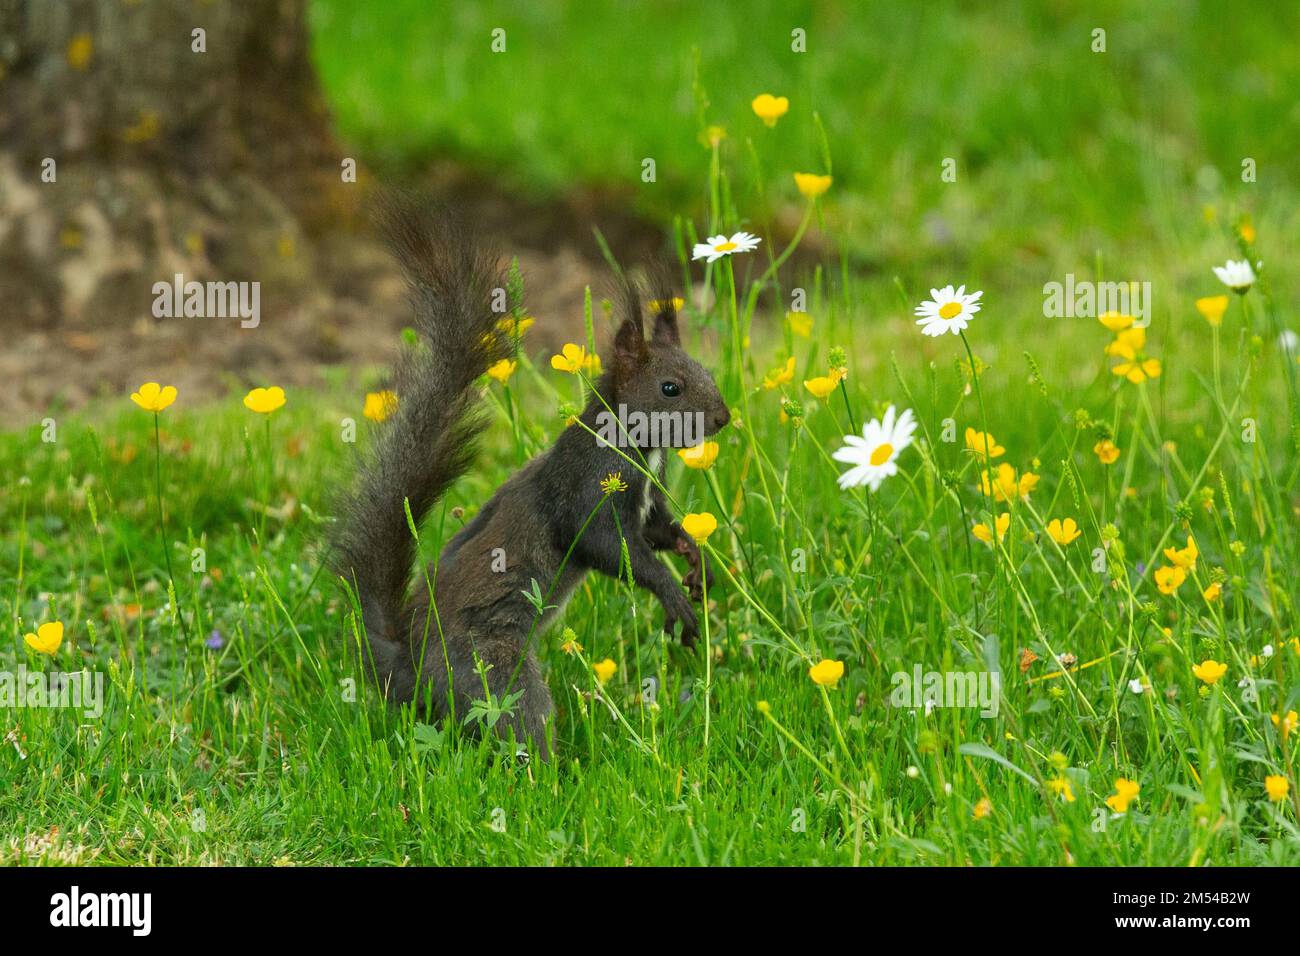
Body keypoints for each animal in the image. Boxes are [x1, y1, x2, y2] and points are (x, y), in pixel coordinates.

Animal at [332, 200, 731, 759]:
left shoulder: (648, 502)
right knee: (519, 720)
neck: (635, 445)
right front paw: (673, 597)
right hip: (492, 671)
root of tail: (403, 669)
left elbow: (660, 530)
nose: (722, 418)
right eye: (670, 388)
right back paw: (552, 771)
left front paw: (696, 560)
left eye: (707, 371)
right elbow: (609, 546)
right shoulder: (586, 489)